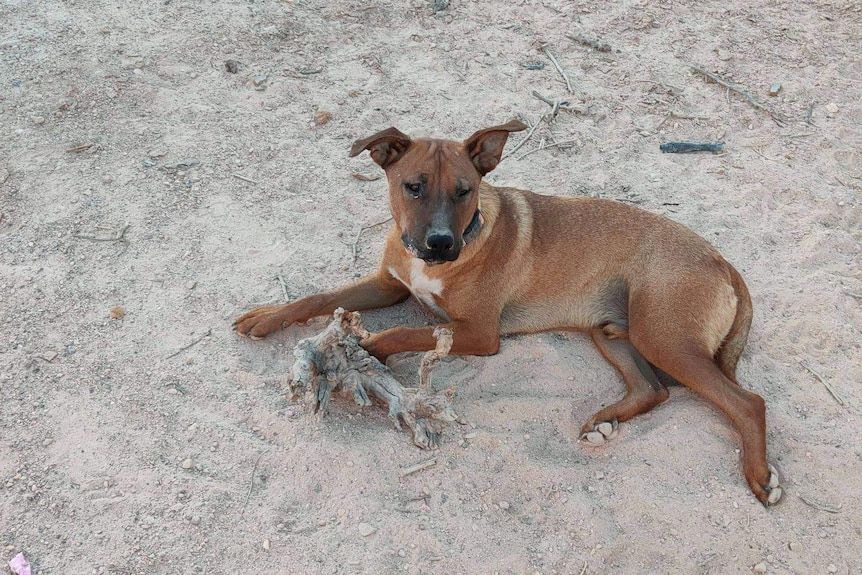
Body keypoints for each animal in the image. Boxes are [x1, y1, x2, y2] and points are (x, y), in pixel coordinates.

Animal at [235, 120, 784, 504]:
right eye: (412, 186)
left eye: (465, 190)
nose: (440, 243)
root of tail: (723, 262)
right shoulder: (389, 286)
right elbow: (318, 297)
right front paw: (268, 316)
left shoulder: (479, 333)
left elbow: (402, 333)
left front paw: (365, 350)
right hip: (612, 330)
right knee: (653, 390)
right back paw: (605, 421)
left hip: (662, 336)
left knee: (746, 401)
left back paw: (760, 476)